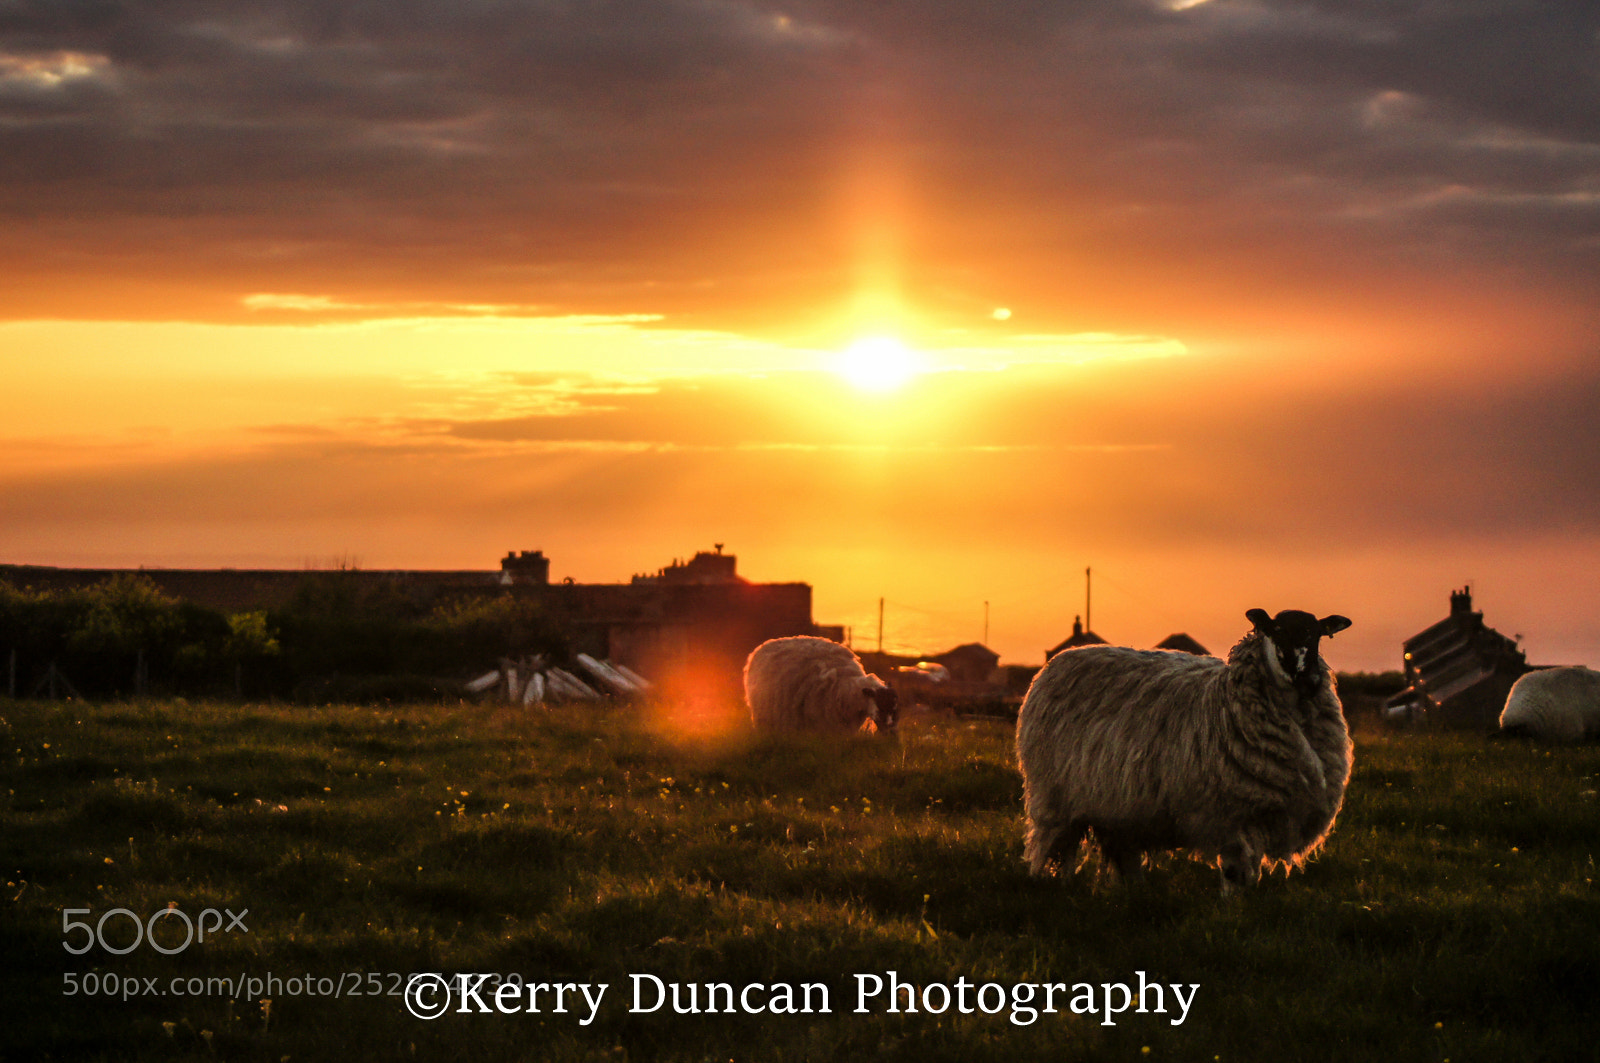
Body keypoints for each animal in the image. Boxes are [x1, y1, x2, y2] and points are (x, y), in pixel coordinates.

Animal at [1017, 611, 1344, 890]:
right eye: (1276, 630)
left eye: (1317, 633)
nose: (1307, 677)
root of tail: (1057, 661)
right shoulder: (1233, 815)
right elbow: (1235, 873)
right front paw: (1234, 910)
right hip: (1055, 799)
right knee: (1056, 849)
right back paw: (1053, 885)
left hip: (1117, 806)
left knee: (1123, 853)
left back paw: (1133, 891)